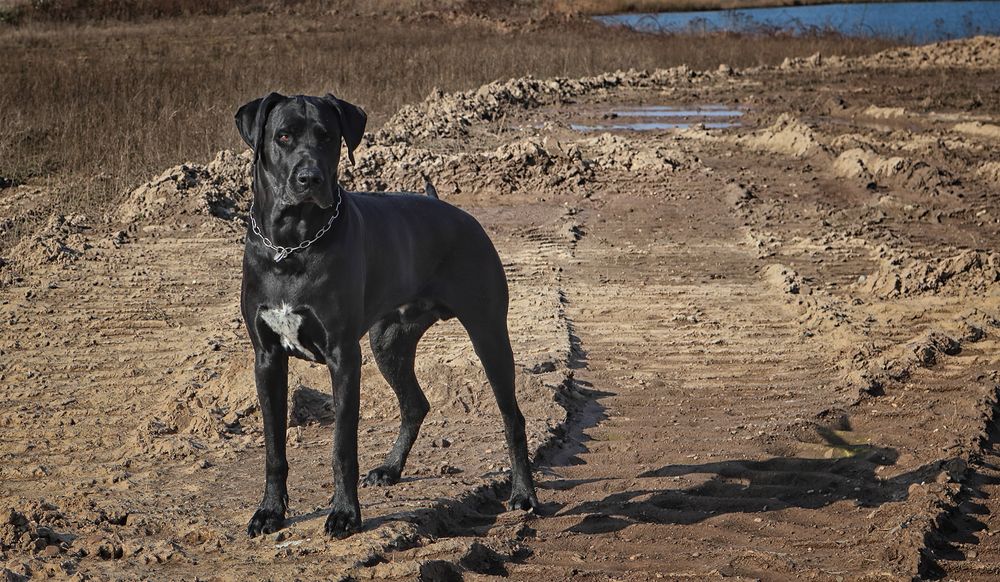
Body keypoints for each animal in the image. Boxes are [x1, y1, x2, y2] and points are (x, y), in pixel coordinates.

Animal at [233, 92, 540, 540]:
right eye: (283, 136)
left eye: (328, 137)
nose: (309, 178)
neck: (292, 246)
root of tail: (454, 210)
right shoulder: (267, 358)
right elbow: (274, 448)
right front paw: (270, 512)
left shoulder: (344, 357)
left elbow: (342, 447)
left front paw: (345, 514)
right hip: (388, 342)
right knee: (415, 404)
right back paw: (391, 469)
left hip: (489, 333)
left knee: (511, 417)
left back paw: (524, 495)